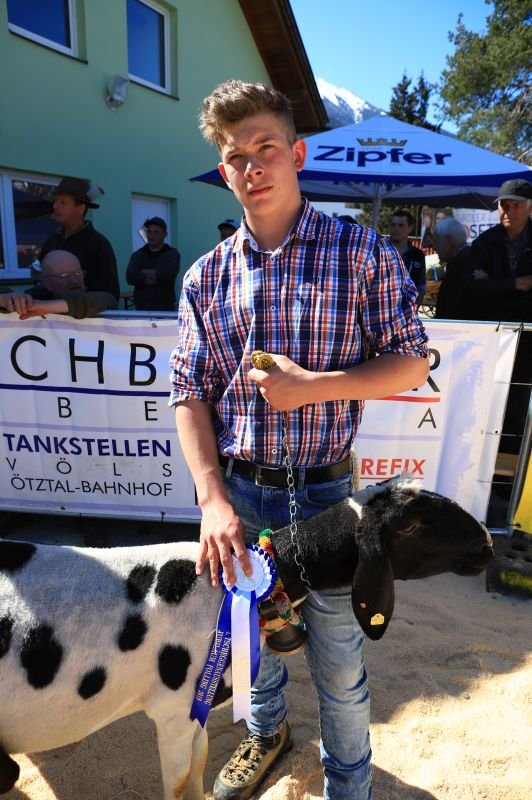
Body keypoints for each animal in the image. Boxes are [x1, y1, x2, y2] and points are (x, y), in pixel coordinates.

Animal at [0, 476, 493, 799]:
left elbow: (197, 772)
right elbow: (178, 783)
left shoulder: (195, 712)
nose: (487, 543)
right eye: (410, 525)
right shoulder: (172, 712)